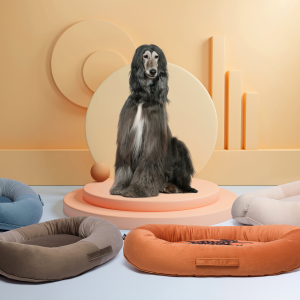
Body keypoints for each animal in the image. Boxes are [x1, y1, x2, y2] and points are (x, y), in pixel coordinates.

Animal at [109, 42, 197, 197]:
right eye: (145, 56)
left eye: (157, 57)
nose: (153, 71)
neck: (144, 97)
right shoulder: (127, 137)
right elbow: (125, 164)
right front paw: (120, 187)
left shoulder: (153, 137)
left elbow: (148, 164)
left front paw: (138, 189)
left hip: (177, 145)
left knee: (183, 186)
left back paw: (171, 187)